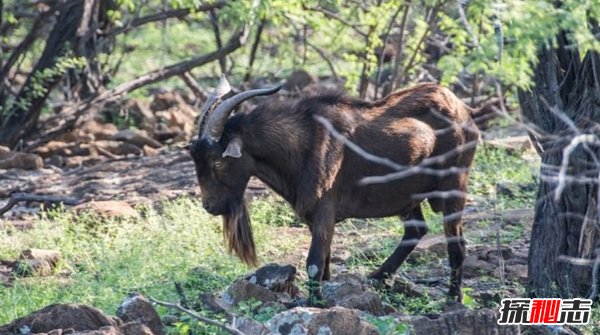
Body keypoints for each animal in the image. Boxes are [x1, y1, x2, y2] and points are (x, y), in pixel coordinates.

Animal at [190, 75, 480, 304]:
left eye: (217, 161)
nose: (209, 206)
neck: (299, 145)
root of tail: (462, 109)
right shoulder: (312, 217)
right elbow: (325, 262)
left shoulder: (324, 211)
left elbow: (314, 263)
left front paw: (314, 304)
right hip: (406, 196)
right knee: (416, 230)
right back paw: (378, 277)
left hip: (455, 185)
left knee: (456, 243)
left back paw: (453, 298)